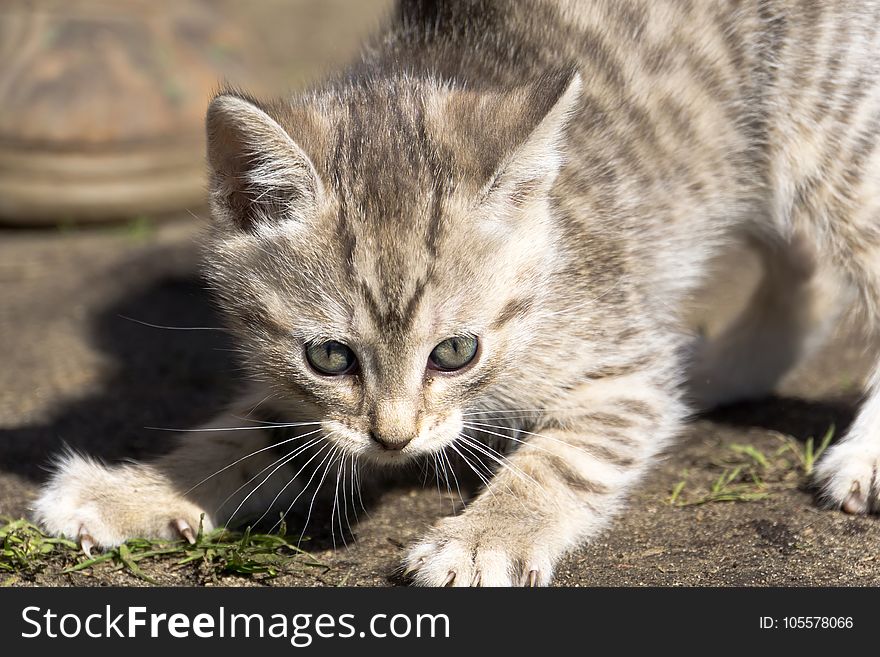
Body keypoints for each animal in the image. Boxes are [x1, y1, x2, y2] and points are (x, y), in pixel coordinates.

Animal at [32, 0, 880, 584]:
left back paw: (858, 455)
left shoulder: (619, 366)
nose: (394, 439)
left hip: (830, 132)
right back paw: (706, 370)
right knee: (804, 272)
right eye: (329, 357)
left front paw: (484, 536)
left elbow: (561, 459)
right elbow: (261, 434)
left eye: (456, 351)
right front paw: (138, 489)